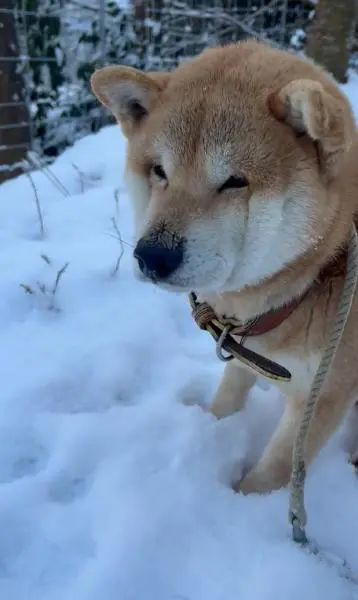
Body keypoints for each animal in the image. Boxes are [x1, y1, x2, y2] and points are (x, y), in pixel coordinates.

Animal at [91, 41, 358, 492]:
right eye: (159, 171)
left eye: (234, 181)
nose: (152, 256)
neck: (317, 276)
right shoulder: (247, 351)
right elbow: (228, 395)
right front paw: (210, 429)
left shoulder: (322, 394)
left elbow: (274, 470)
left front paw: (243, 502)